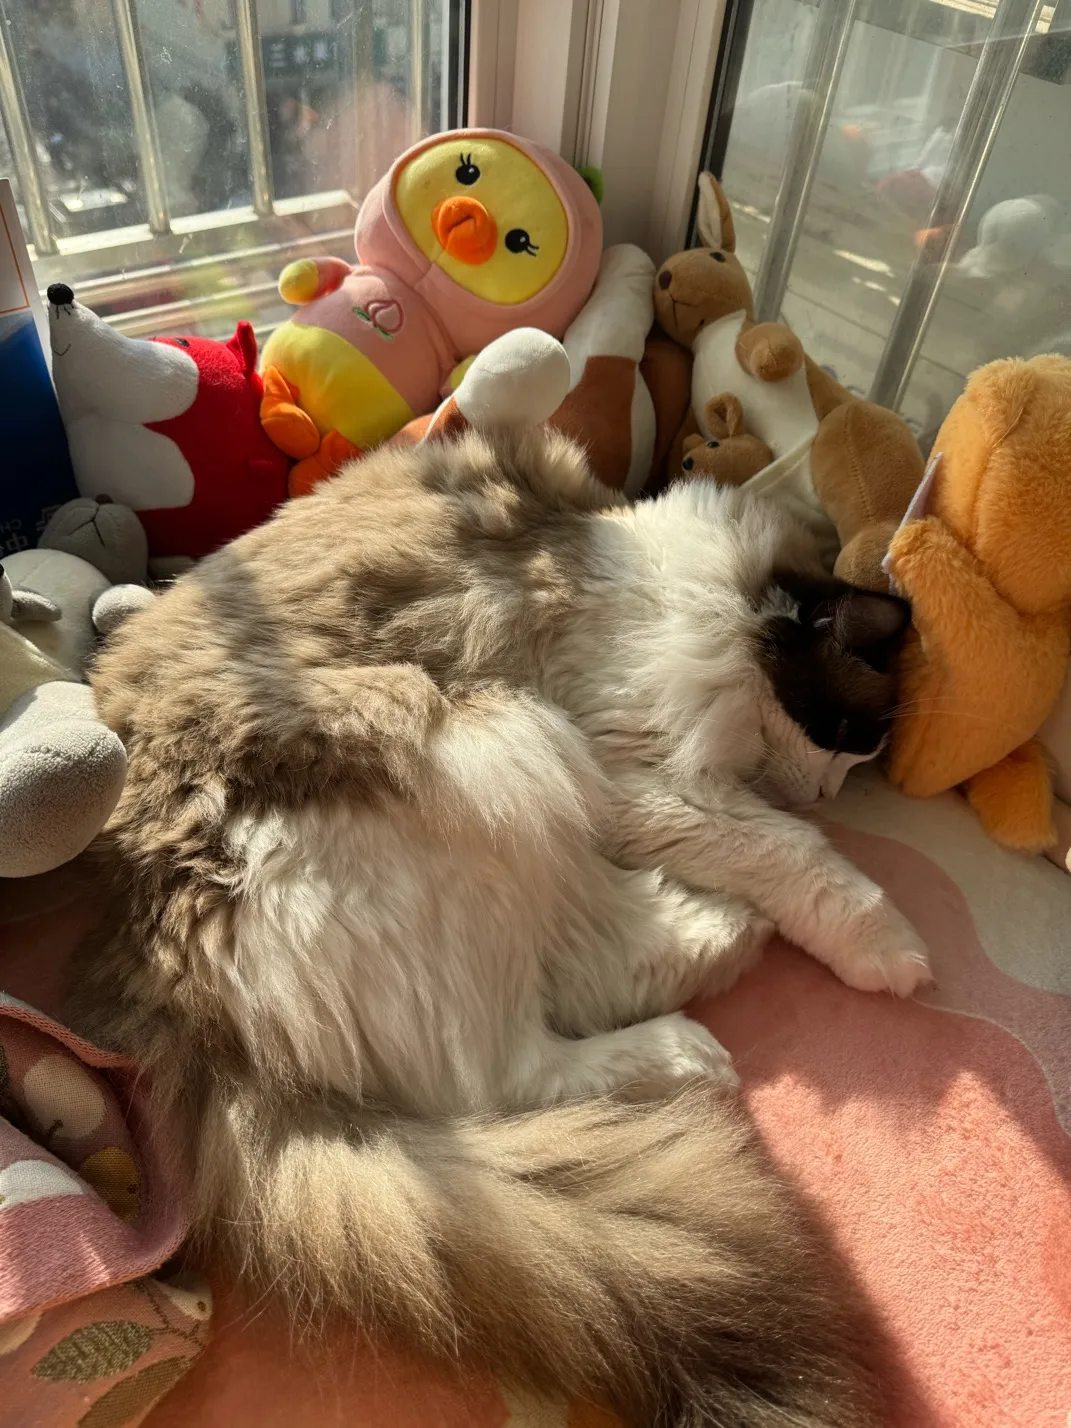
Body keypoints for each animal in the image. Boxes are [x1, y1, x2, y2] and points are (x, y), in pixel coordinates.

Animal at [68, 427, 930, 1427]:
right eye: (843, 734)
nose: (827, 794)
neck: (696, 585)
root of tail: (178, 1007)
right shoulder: (643, 779)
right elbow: (798, 859)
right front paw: (890, 949)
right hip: (503, 744)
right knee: (504, 1069)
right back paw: (692, 1043)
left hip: (516, 788)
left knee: (578, 982)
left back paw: (716, 944)